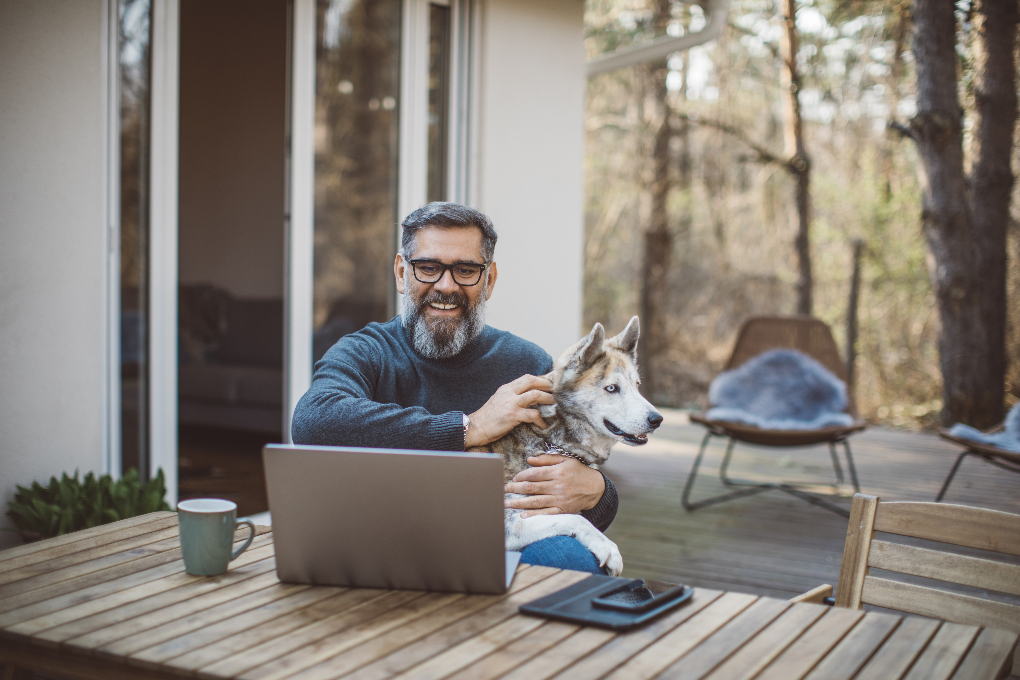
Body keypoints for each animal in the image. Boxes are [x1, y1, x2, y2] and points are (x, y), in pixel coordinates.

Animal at [469, 316, 660, 579]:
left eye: (637, 385)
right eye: (611, 388)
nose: (657, 419)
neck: (550, 439)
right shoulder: (506, 524)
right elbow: (575, 519)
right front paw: (607, 547)